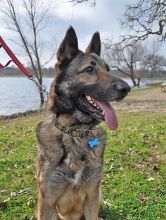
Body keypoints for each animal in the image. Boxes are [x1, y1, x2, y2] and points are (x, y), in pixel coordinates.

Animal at [35, 26, 130, 219]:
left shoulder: (92, 195)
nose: (127, 88)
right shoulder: (46, 202)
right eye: (89, 69)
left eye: (108, 69)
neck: (76, 133)